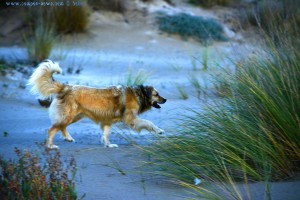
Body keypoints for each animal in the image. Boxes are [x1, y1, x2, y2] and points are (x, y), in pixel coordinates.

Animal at [27, 59, 166, 148]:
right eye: (157, 94)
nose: (165, 100)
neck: (138, 94)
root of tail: (65, 87)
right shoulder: (131, 119)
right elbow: (148, 123)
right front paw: (158, 130)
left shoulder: (107, 121)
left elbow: (106, 134)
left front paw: (108, 145)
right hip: (68, 116)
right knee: (52, 129)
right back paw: (50, 146)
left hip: (74, 116)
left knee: (61, 127)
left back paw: (68, 138)